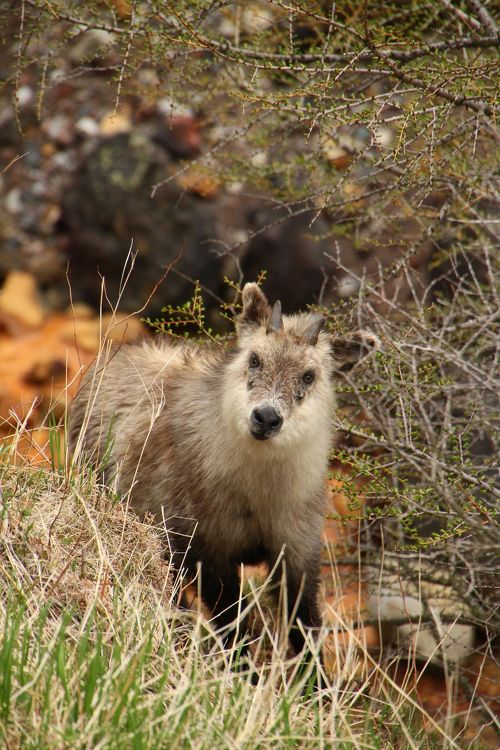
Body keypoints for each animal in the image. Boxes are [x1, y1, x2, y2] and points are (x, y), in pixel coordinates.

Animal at [68, 286, 376, 656]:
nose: (266, 418)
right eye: (254, 359)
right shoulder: (205, 553)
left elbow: (304, 628)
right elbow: (234, 626)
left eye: (309, 375)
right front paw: (240, 671)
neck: (260, 493)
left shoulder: (298, 553)